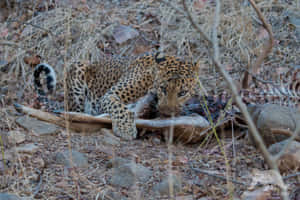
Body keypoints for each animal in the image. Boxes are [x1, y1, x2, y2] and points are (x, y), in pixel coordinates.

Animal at [33, 52, 199, 140]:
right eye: (163, 88)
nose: (166, 113)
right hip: (78, 67)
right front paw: (126, 129)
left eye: (182, 93)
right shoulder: (110, 95)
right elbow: (120, 109)